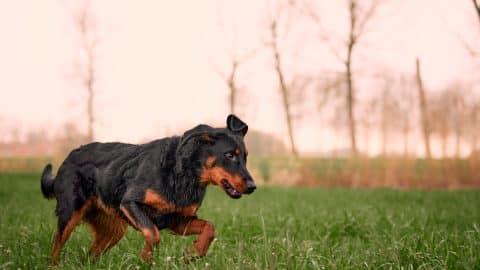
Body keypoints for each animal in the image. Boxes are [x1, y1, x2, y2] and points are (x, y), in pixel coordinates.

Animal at [41, 114, 256, 264]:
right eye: (229, 155)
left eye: (245, 156)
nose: (252, 187)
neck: (182, 173)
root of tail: (67, 158)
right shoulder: (131, 203)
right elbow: (153, 234)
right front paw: (146, 258)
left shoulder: (178, 219)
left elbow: (210, 228)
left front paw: (193, 254)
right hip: (70, 213)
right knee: (55, 250)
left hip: (112, 229)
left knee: (89, 256)